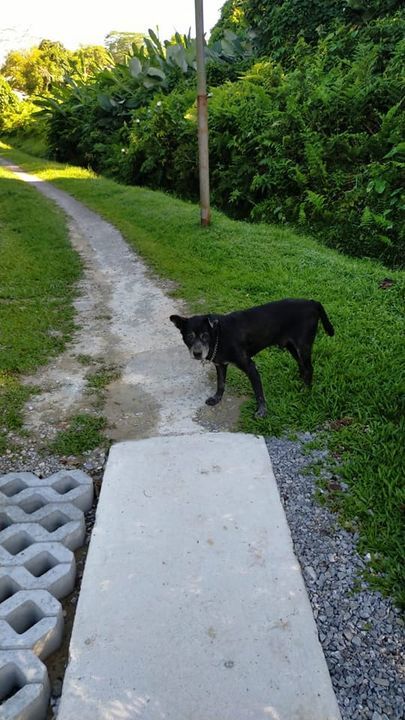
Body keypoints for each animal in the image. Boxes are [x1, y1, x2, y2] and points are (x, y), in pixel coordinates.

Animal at [169, 298, 332, 420]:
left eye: (205, 335)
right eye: (189, 336)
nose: (197, 353)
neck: (219, 335)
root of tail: (312, 302)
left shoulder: (250, 366)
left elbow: (258, 392)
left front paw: (262, 411)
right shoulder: (220, 365)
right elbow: (220, 384)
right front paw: (216, 398)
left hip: (303, 346)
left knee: (309, 369)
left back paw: (306, 391)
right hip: (292, 347)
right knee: (302, 367)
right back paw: (301, 384)